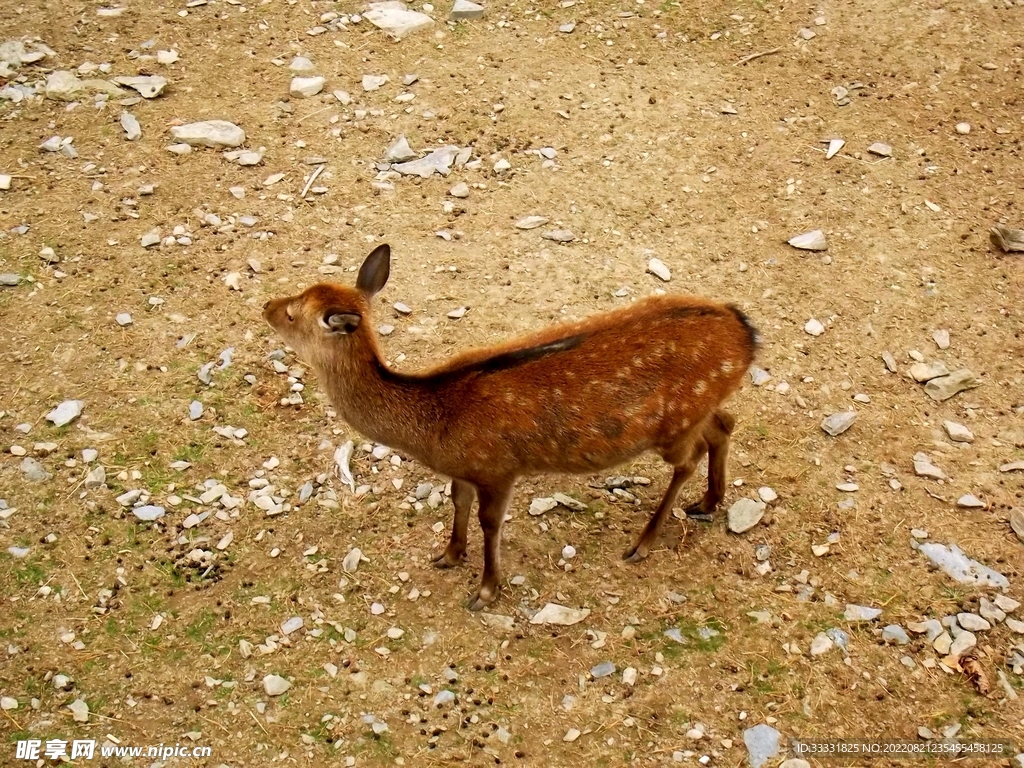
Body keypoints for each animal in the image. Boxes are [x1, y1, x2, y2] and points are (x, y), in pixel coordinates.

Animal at [263, 244, 759, 610]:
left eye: (293, 314)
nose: (267, 304)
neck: (434, 425)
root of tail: (749, 335)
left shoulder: (497, 468)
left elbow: (490, 522)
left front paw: (485, 590)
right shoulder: (465, 470)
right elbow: (456, 500)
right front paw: (449, 554)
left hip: (673, 426)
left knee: (689, 458)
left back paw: (645, 541)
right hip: (699, 408)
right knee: (724, 423)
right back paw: (709, 501)